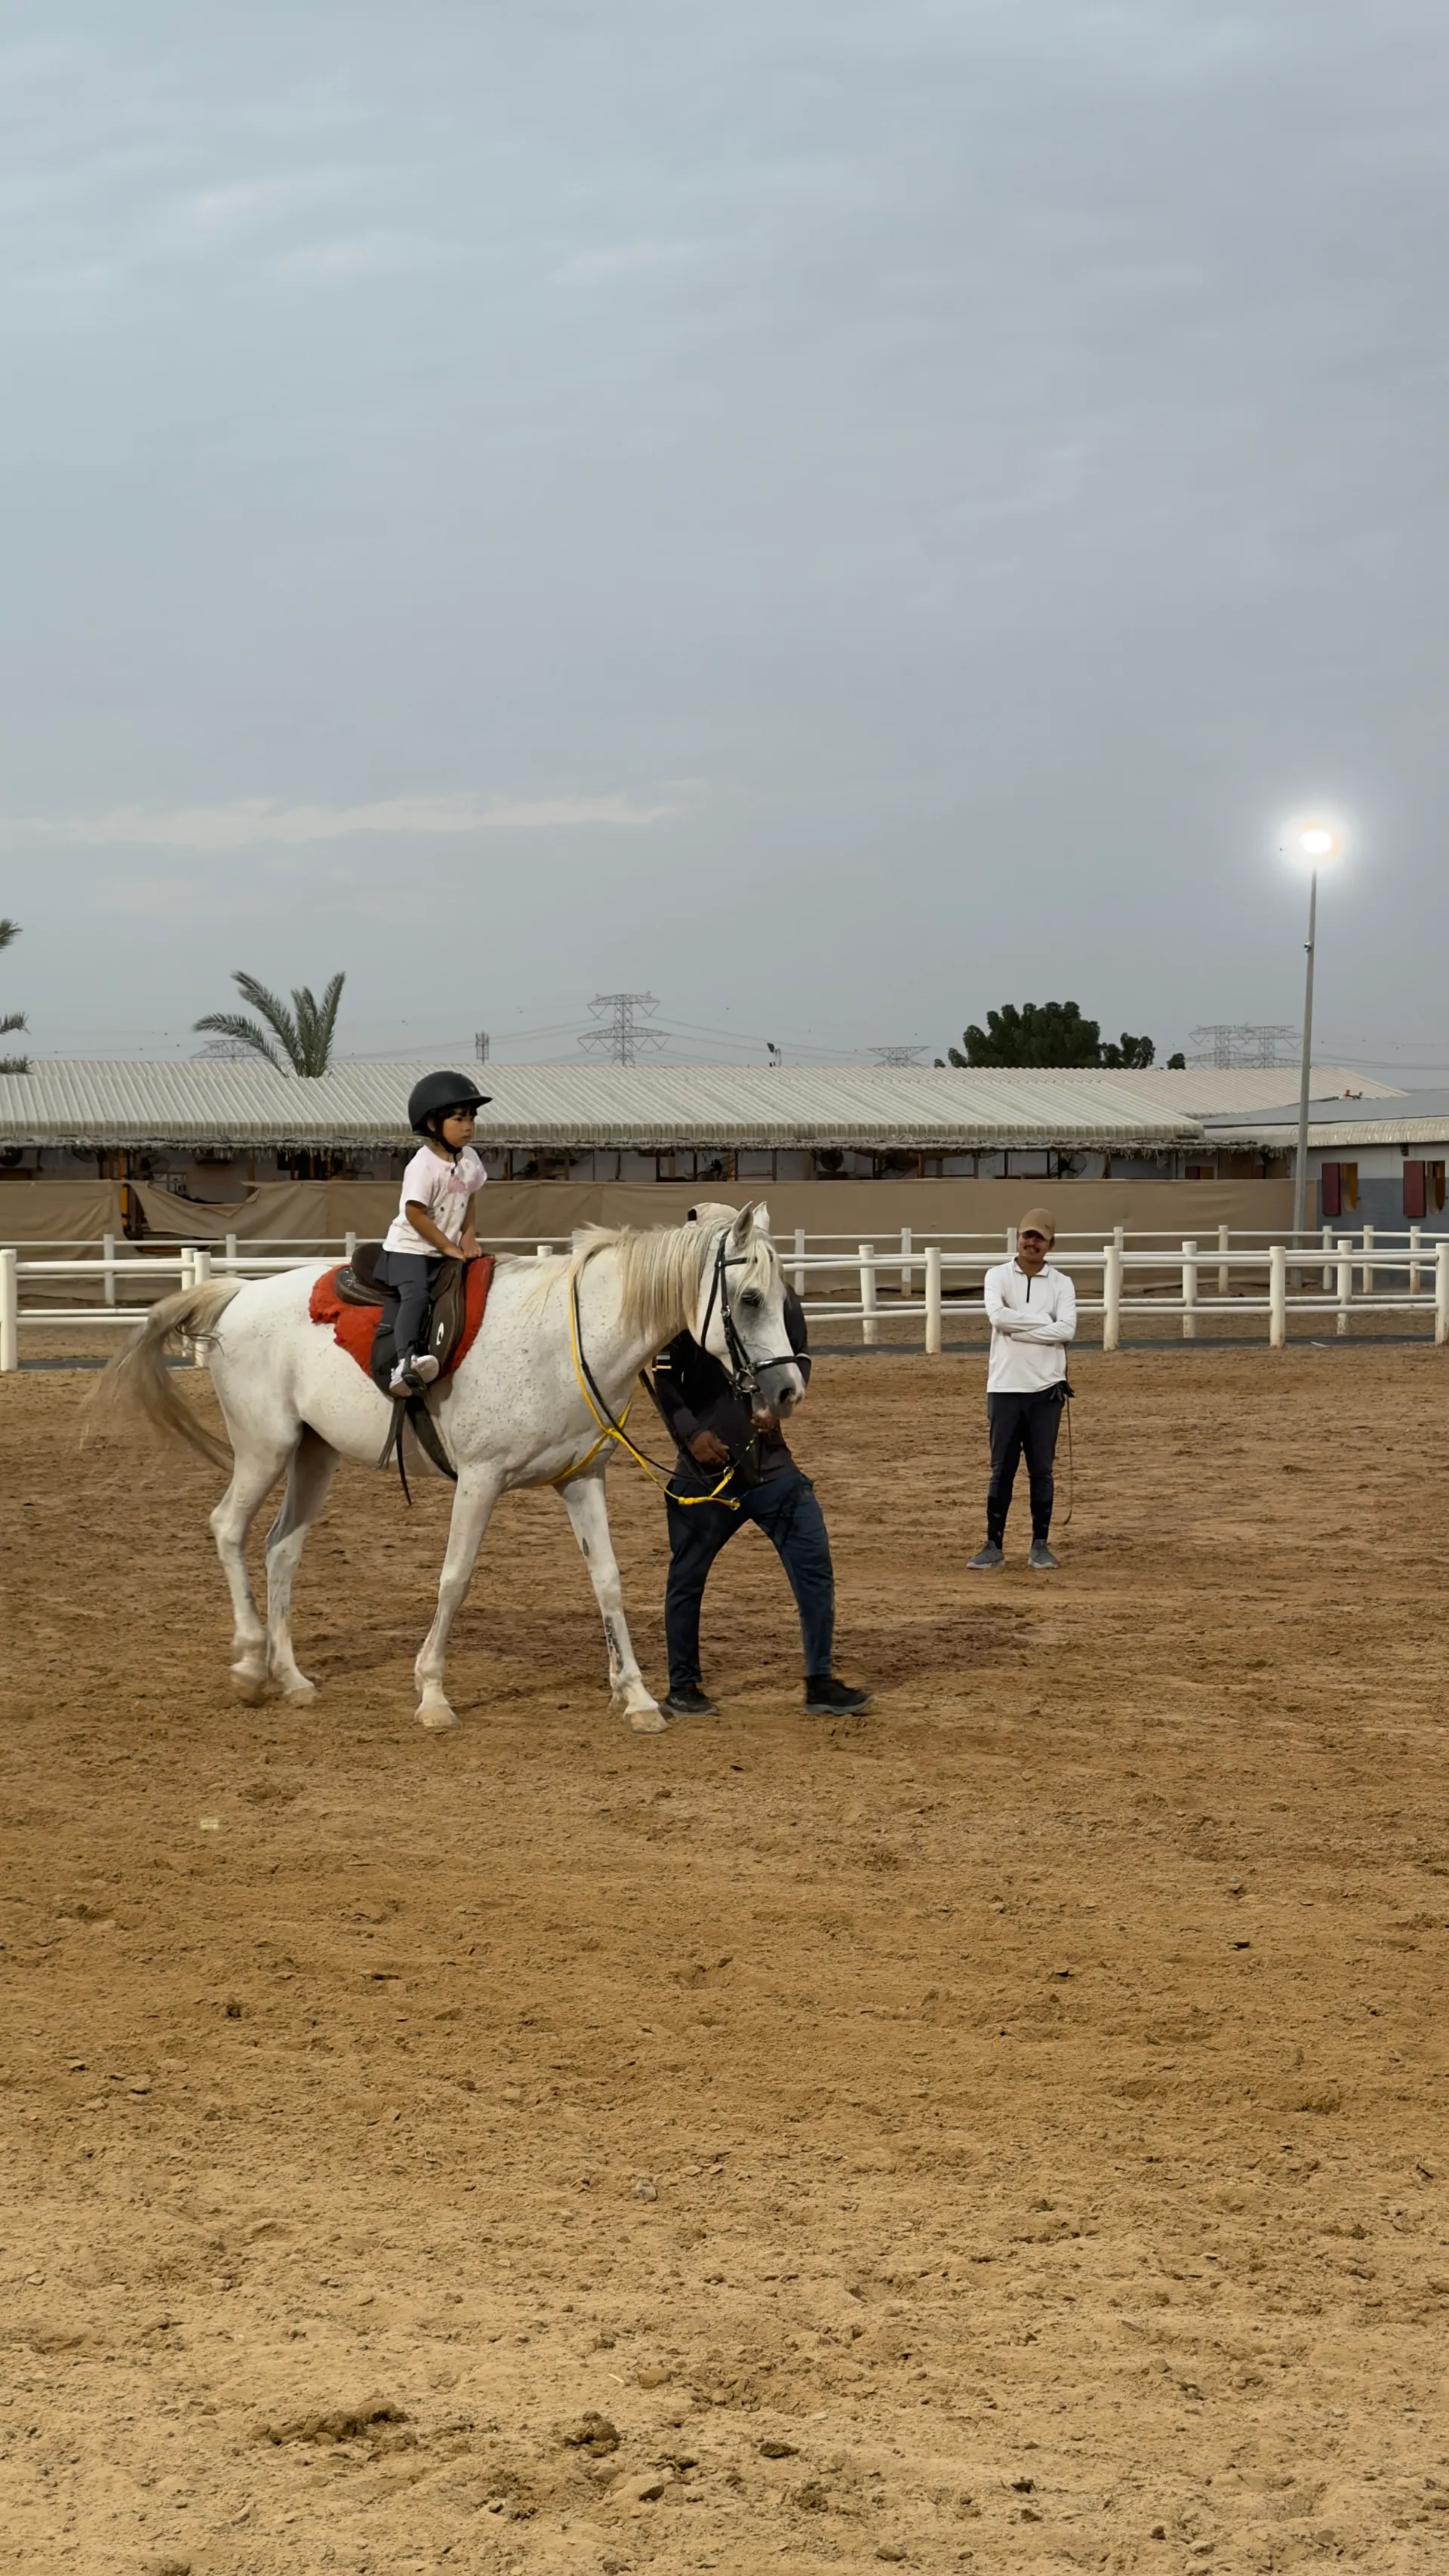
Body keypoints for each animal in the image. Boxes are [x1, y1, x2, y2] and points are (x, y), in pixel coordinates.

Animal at [99, 1202, 803, 1735]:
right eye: (748, 1298)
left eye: (783, 1299)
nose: (788, 1390)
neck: (561, 1340)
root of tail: (241, 1293)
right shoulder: (480, 1480)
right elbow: (454, 1579)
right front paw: (433, 1694)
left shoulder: (582, 1481)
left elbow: (607, 1581)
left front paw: (635, 1696)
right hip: (263, 1448)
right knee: (228, 1527)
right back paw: (250, 1665)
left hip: (312, 1455)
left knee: (280, 1549)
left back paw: (292, 1677)